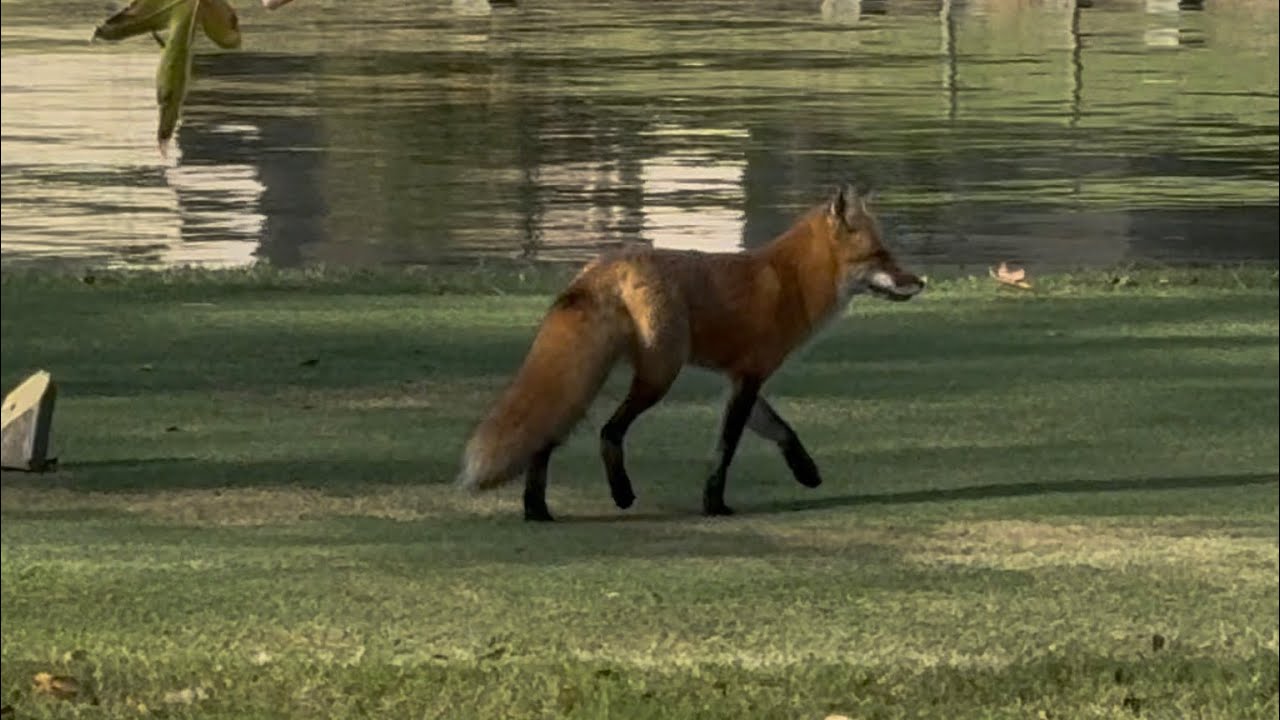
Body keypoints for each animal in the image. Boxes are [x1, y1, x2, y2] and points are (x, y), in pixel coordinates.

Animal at [456, 184, 925, 521]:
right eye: (880, 255)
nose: (920, 281)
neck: (792, 281)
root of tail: (603, 265)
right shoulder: (749, 378)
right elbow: (725, 451)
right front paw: (714, 505)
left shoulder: (740, 378)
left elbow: (782, 430)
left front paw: (805, 471)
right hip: (659, 374)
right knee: (608, 431)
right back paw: (620, 494)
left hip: (594, 375)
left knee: (546, 435)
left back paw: (536, 509)